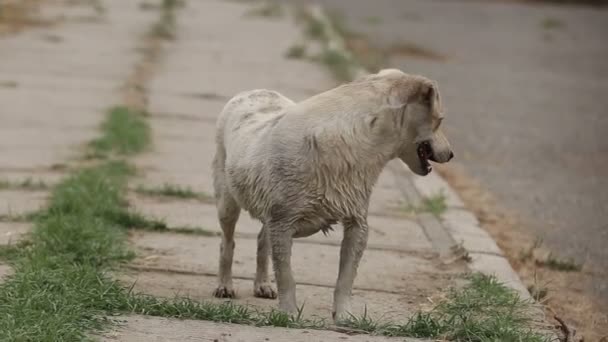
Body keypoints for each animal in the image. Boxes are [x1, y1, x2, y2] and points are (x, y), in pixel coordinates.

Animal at [211, 68, 454, 320]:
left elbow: (346, 278)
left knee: (262, 240)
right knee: (227, 242)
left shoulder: (358, 224)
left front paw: (344, 316)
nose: (451, 154)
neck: (354, 142)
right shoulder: (282, 223)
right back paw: (225, 285)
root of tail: (251, 92)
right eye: (440, 121)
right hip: (227, 202)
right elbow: (286, 276)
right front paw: (288, 314)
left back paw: (262, 285)